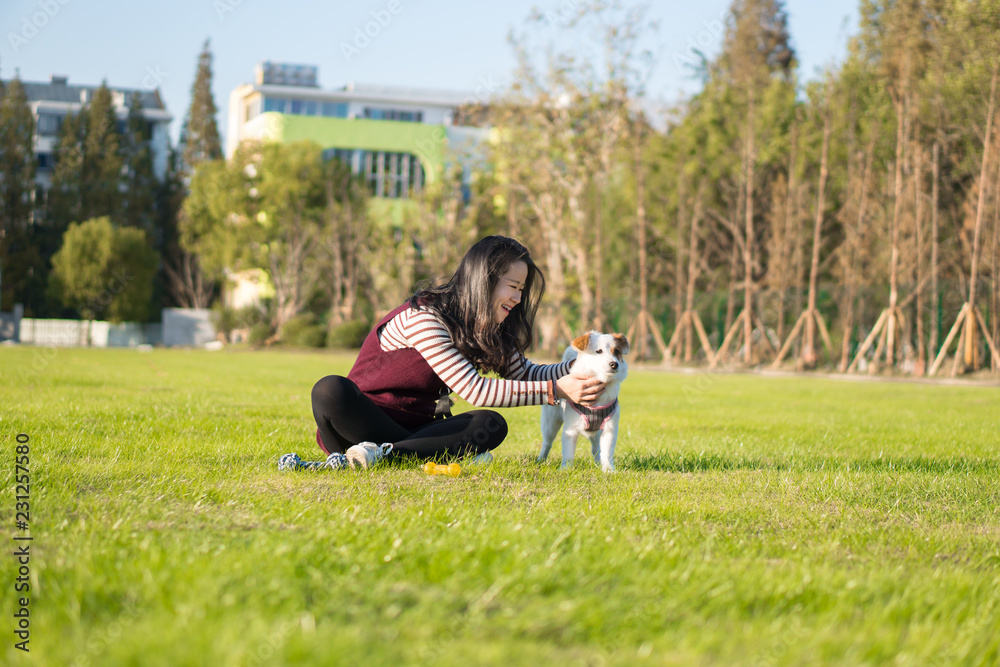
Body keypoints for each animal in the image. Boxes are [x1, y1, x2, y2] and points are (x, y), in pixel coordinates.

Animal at [536, 332, 628, 472]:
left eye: (616, 351)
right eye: (599, 351)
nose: (614, 364)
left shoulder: (609, 429)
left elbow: (607, 452)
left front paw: (608, 470)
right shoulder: (571, 430)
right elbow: (568, 453)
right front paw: (566, 469)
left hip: (596, 434)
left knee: (596, 450)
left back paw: (598, 463)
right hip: (550, 423)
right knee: (547, 443)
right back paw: (541, 459)